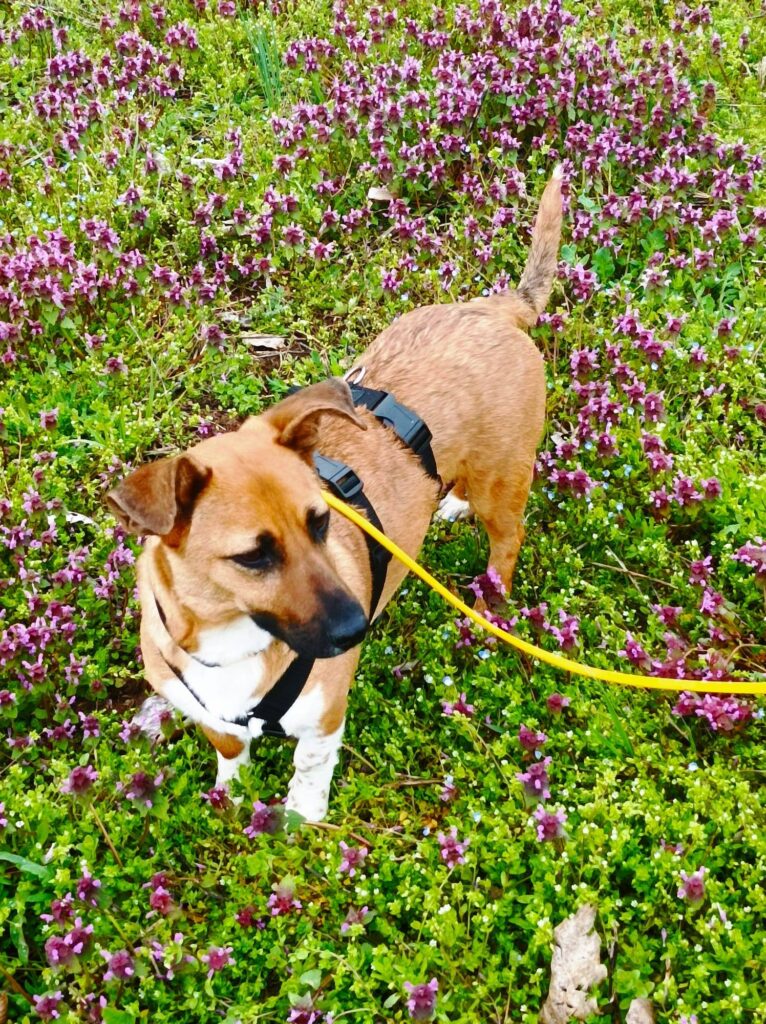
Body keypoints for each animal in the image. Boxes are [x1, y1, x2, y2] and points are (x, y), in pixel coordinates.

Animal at [107, 168, 562, 821]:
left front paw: (298, 821)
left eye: (322, 522)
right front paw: (231, 795)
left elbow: (308, 772)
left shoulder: (323, 718)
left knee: (507, 539)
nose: (357, 629)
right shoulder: (207, 713)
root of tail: (492, 309)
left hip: (503, 485)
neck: (229, 643)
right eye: (253, 556)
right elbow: (230, 750)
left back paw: (490, 599)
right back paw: (449, 503)